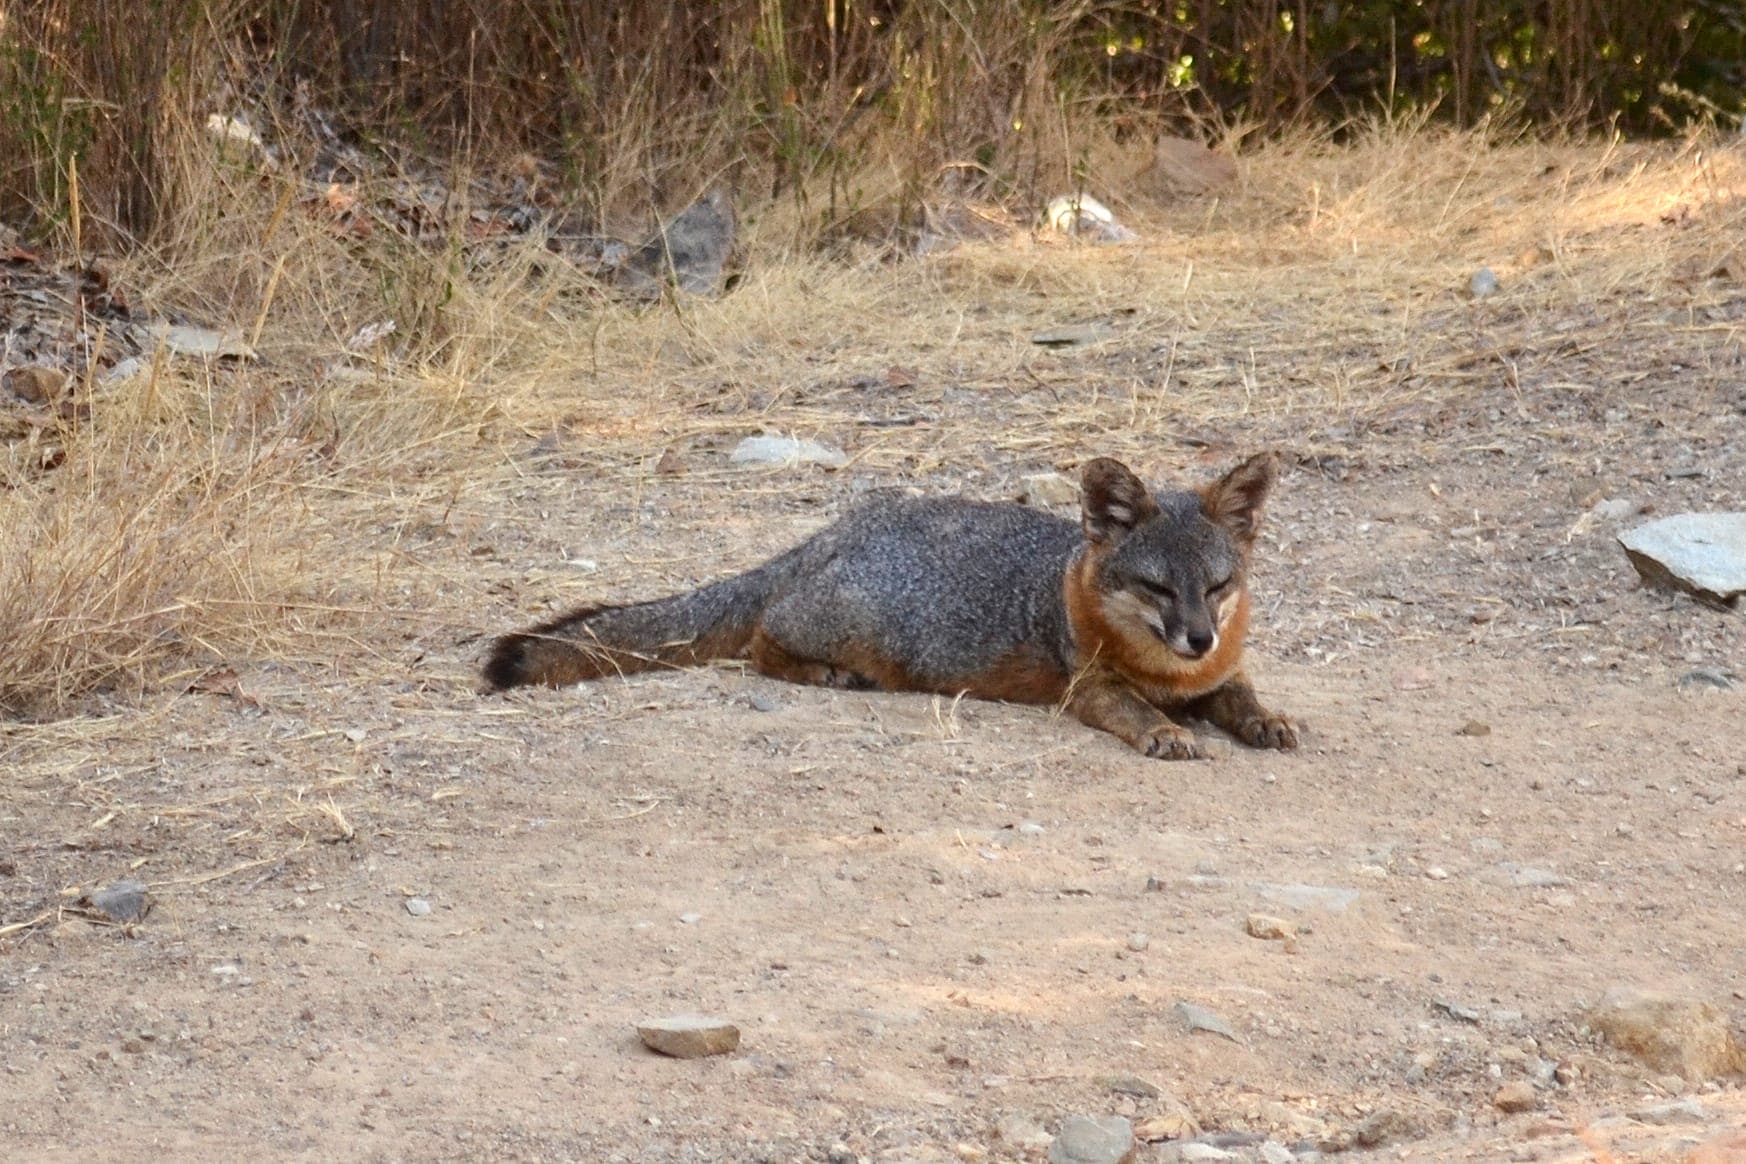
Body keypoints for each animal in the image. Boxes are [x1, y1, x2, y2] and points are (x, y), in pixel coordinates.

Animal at [483, 454, 1298, 760]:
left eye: (1217, 586)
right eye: (1158, 588)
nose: (1197, 638)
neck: (1169, 674)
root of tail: (839, 528)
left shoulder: (1218, 673)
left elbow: (1241, 692)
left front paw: (1265, 719)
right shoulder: (1087, 689)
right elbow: (1131, 708)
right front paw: (1163, 729)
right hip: (857, 626)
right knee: (762, 642)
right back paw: (825, 675)